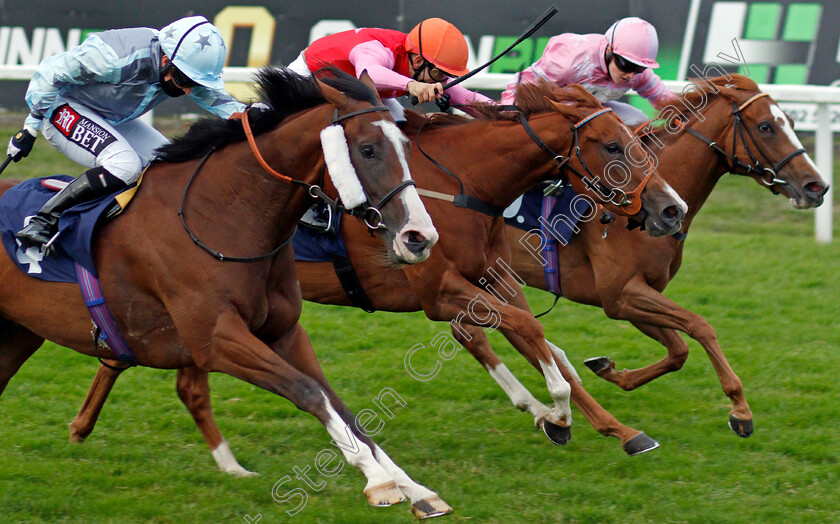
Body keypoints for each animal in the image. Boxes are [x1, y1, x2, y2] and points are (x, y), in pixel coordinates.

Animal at [1, 68, 460, 520]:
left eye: (405, 145)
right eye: (367, 150)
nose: (420, 237)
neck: (222, 216)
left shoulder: (284, 333)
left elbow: (344, 409)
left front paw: (416, 489)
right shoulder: (214, 339)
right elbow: (307, 392)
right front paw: (377, 480)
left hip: (18, 335)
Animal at [69, 81, 692, 470]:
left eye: (639, 139)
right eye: (612, 145)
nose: (671, 210)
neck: (462, 183)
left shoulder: (490, 279)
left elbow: (541, 342)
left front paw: (607, 427)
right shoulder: (441, 291)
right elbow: (530, 334)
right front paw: (559, 412)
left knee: (139, 354)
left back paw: (84, 423)